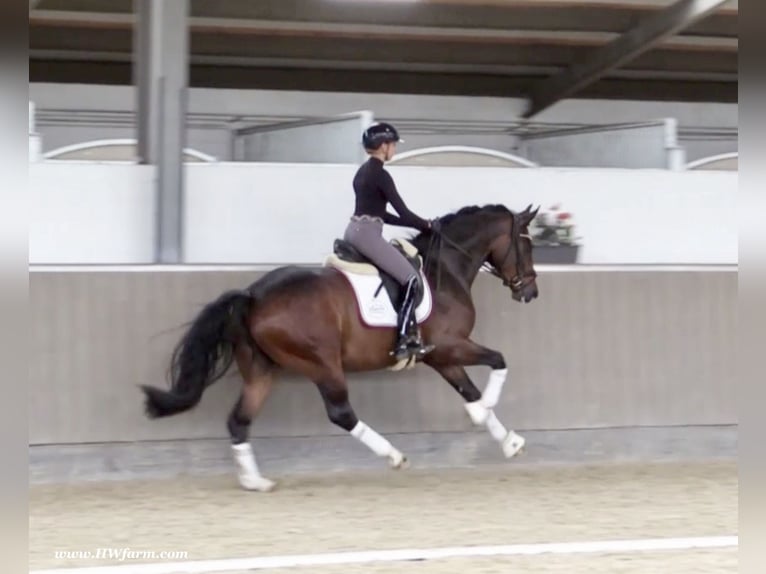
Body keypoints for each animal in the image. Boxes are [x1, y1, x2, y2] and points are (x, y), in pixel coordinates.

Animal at [141, 202, 544, 490]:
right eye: (527, 244)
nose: (530, 292)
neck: (443, 268)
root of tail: (253, 296)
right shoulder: (449, 346)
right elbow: (498, 362)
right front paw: (484, 413)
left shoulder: (441, 357)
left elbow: (470, 389)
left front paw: (508, 441)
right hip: (322, 363)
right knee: (340, 413)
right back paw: (394, 456)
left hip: (261, 370)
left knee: (239, 420)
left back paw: (255, 481)